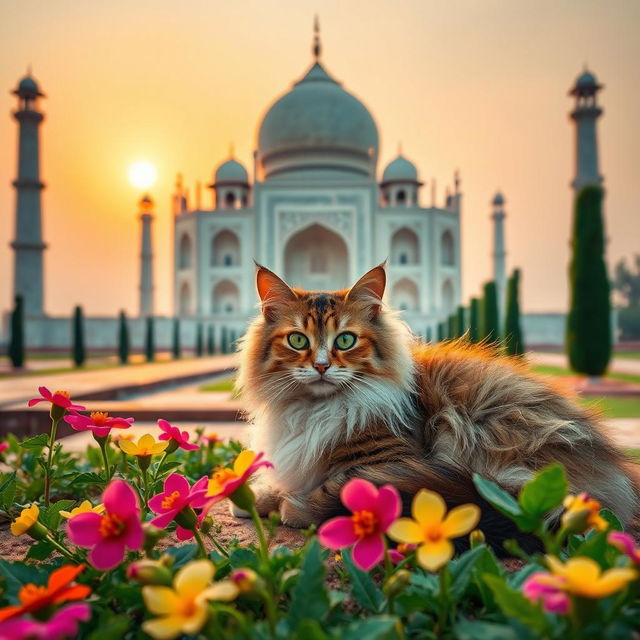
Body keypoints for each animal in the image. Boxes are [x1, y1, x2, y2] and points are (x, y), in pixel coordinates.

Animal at [235, 262, 640, 548]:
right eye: (298, 340)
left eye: (346, 340)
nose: (321, 366)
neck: (313, 411)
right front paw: (253, 496)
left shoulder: (391, 460)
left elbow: (335, 488)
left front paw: (291, 505)